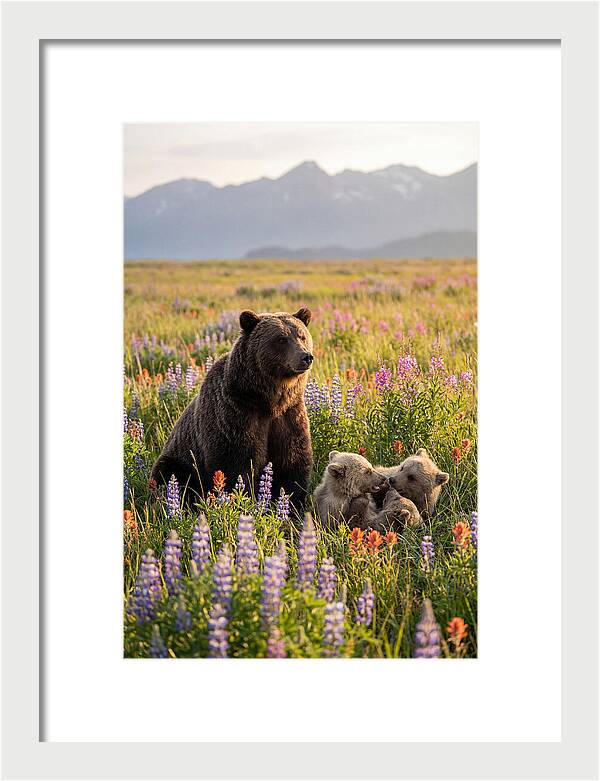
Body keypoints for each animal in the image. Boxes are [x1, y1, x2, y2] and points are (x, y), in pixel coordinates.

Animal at [151, 307, 314, 505]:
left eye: (302, 336)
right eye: (281, 339)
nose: (306, 357)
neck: (268, 400)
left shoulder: (289, 415)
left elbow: (292, 462)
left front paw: (292, 503)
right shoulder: (235, 414)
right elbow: (236, 464)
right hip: (180, 458)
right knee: (169, 474)